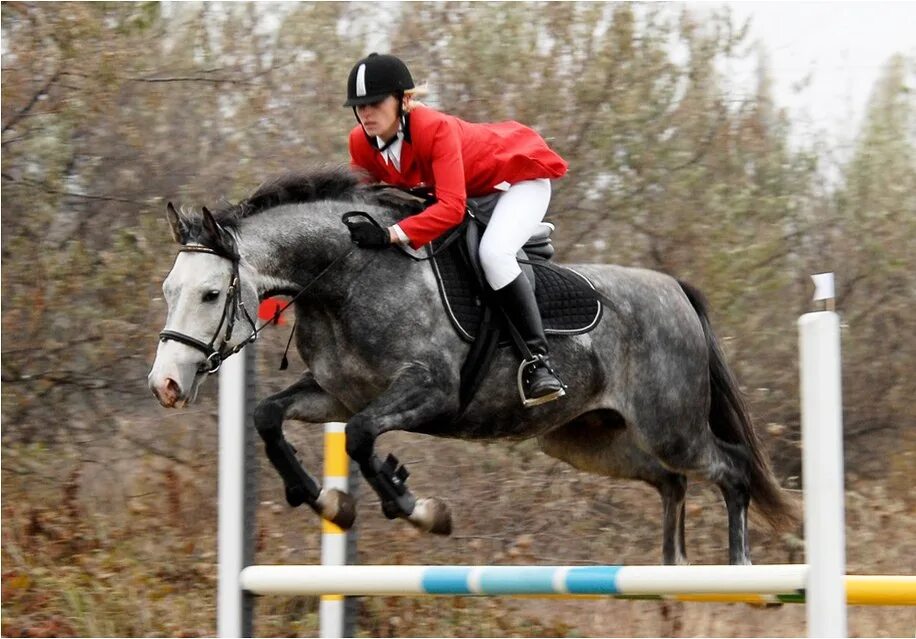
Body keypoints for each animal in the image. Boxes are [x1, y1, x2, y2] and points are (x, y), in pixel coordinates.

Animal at [148, 169, 796, 564]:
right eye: (168, 290)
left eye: (210, 294)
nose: (166, 386)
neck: (345, 278)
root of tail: (676, 291)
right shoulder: (336, 394)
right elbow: (268, 417)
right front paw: (330, 502)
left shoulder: (428, 391)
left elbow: (360, 436)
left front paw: (419, 511)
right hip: (588, 439)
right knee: (671, 481)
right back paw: (673, 572)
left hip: (671, 425)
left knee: (731, 469)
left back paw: (739, 572)